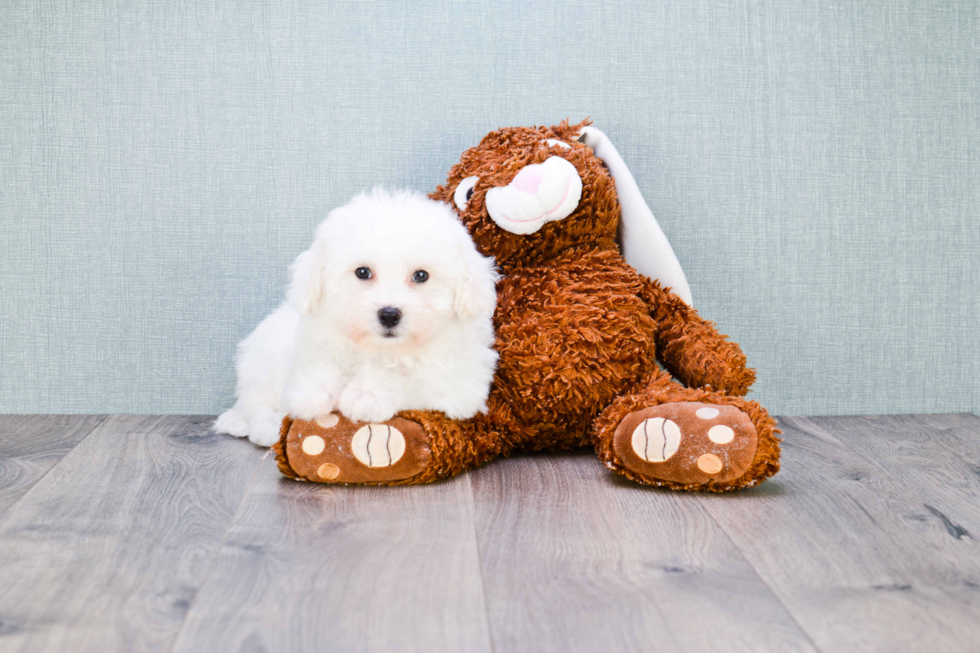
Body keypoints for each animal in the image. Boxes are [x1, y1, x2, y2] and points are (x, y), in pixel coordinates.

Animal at [214, 186, 498, 446]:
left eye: (421, 275)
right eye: (362, 272)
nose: (389, 315)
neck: (379, 350)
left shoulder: (459, 382)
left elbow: (412, 378)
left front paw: (367, 395)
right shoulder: (314, 344)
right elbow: (316, 366)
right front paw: (313, 392)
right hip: (262, 361)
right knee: (256, 402)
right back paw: (257, 426)